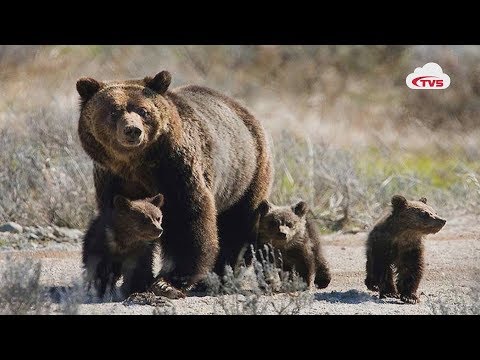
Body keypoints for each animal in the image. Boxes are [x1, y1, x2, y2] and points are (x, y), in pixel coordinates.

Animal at [78, 69, 274, 296]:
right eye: (114, 111)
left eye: (144, 111)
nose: (132, 130)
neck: (136, 165)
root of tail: (243, 109)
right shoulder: (112, 179)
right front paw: (110, 275)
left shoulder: (176, 172)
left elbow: (188, 220)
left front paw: (167, 281)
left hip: (246, 175)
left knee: (237, 226)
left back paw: (219, 277)